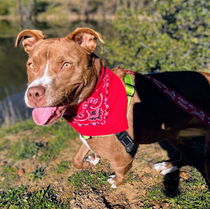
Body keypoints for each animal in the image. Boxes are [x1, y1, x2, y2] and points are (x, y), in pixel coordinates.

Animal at [15, 27, 210, 188]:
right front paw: (91, 160)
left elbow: (120, 171)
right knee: (189, 154)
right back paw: (168, 165)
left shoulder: (122, 157)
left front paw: (116, 182)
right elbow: (76, 158)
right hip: (173, 132)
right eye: (31, 65)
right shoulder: (88, 136)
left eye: (66, 64)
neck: (94, 94)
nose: (34, 93)